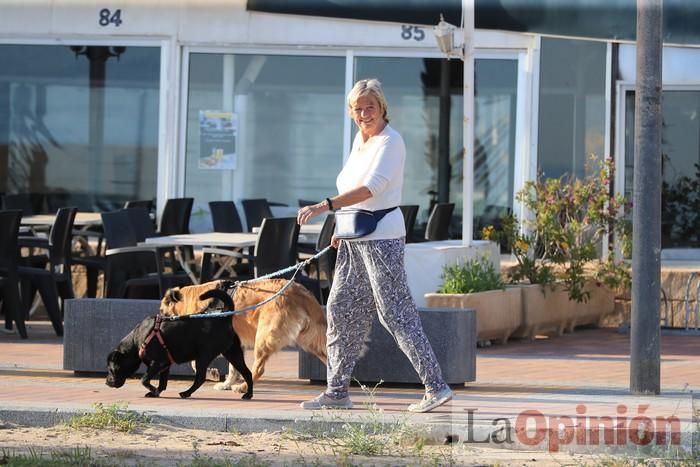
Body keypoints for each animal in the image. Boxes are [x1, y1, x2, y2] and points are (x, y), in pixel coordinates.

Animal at [160, 280, 326, 394]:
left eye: (162, 310)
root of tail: (300, 292)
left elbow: (195, 363)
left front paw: (211, 373)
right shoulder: (234, 345)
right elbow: (233, 368)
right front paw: (225, 384)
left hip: (263, 338)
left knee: (258, 370)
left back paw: (243, 387)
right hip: (312, 341)